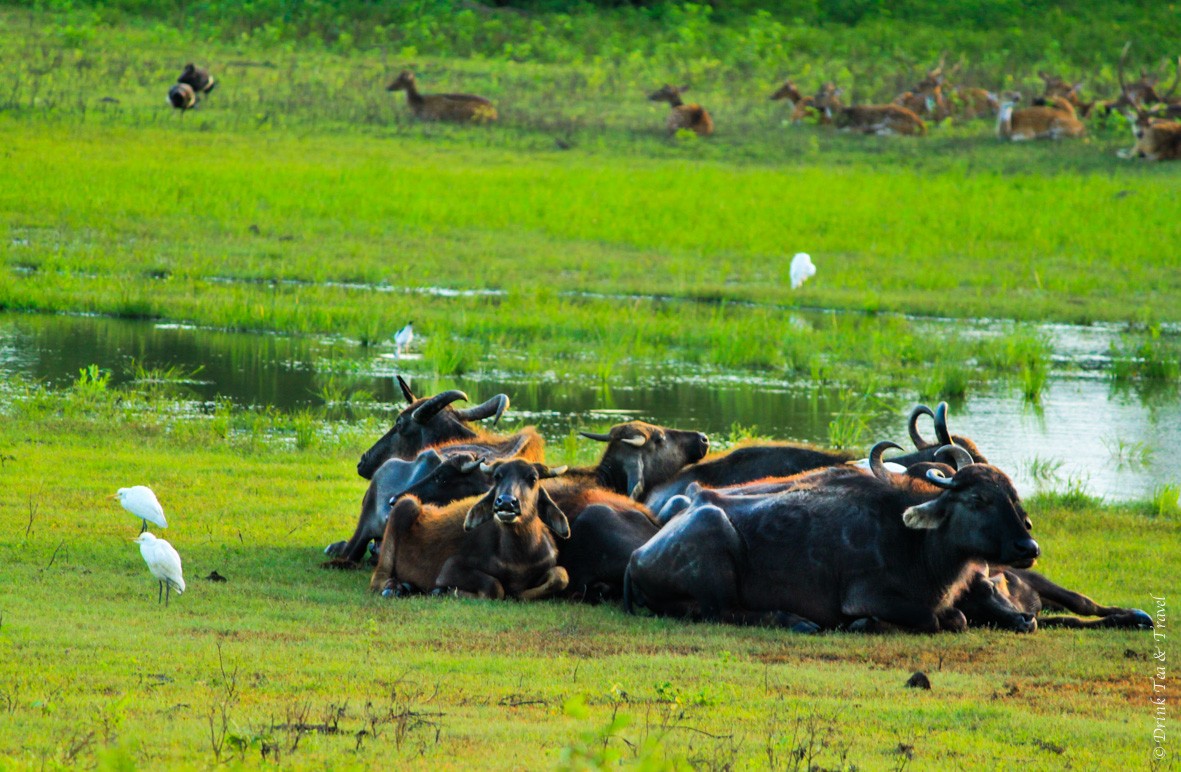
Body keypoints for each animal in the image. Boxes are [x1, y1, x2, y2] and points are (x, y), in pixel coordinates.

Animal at [623, 441, 1039, 637]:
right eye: (978, 500)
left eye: (1013, 497)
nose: (1028, 548)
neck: (917, 544)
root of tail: (637, 555)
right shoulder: (869, 596)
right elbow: (937, 619)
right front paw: (863, 625)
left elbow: (957, 618)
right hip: (713, 536)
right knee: (720, 611)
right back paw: (796, 621)